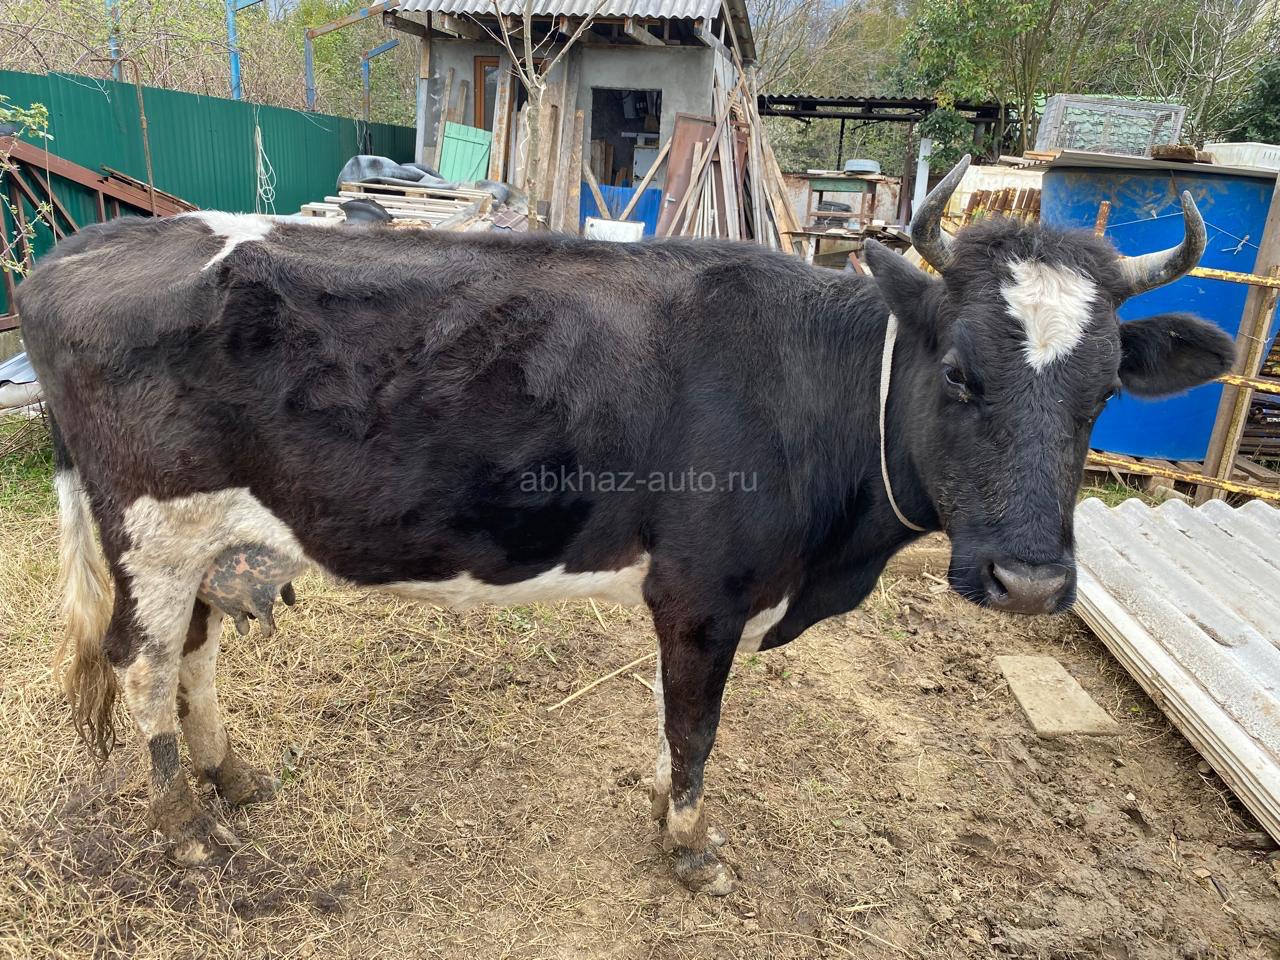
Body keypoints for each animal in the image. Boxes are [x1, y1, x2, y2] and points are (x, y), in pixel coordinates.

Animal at [16, 157, 1233, 895]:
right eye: (958, 372)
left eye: (1104, 394)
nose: (1030, 582)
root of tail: (77, 248)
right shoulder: (702, 590)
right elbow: (696, 725)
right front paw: (689, 845)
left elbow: (669, 721)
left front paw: (658, 804)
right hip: (151, 527)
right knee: (143, 662)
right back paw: (183, 825)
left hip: (204, 539)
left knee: (194, 654)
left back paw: (230, 779)